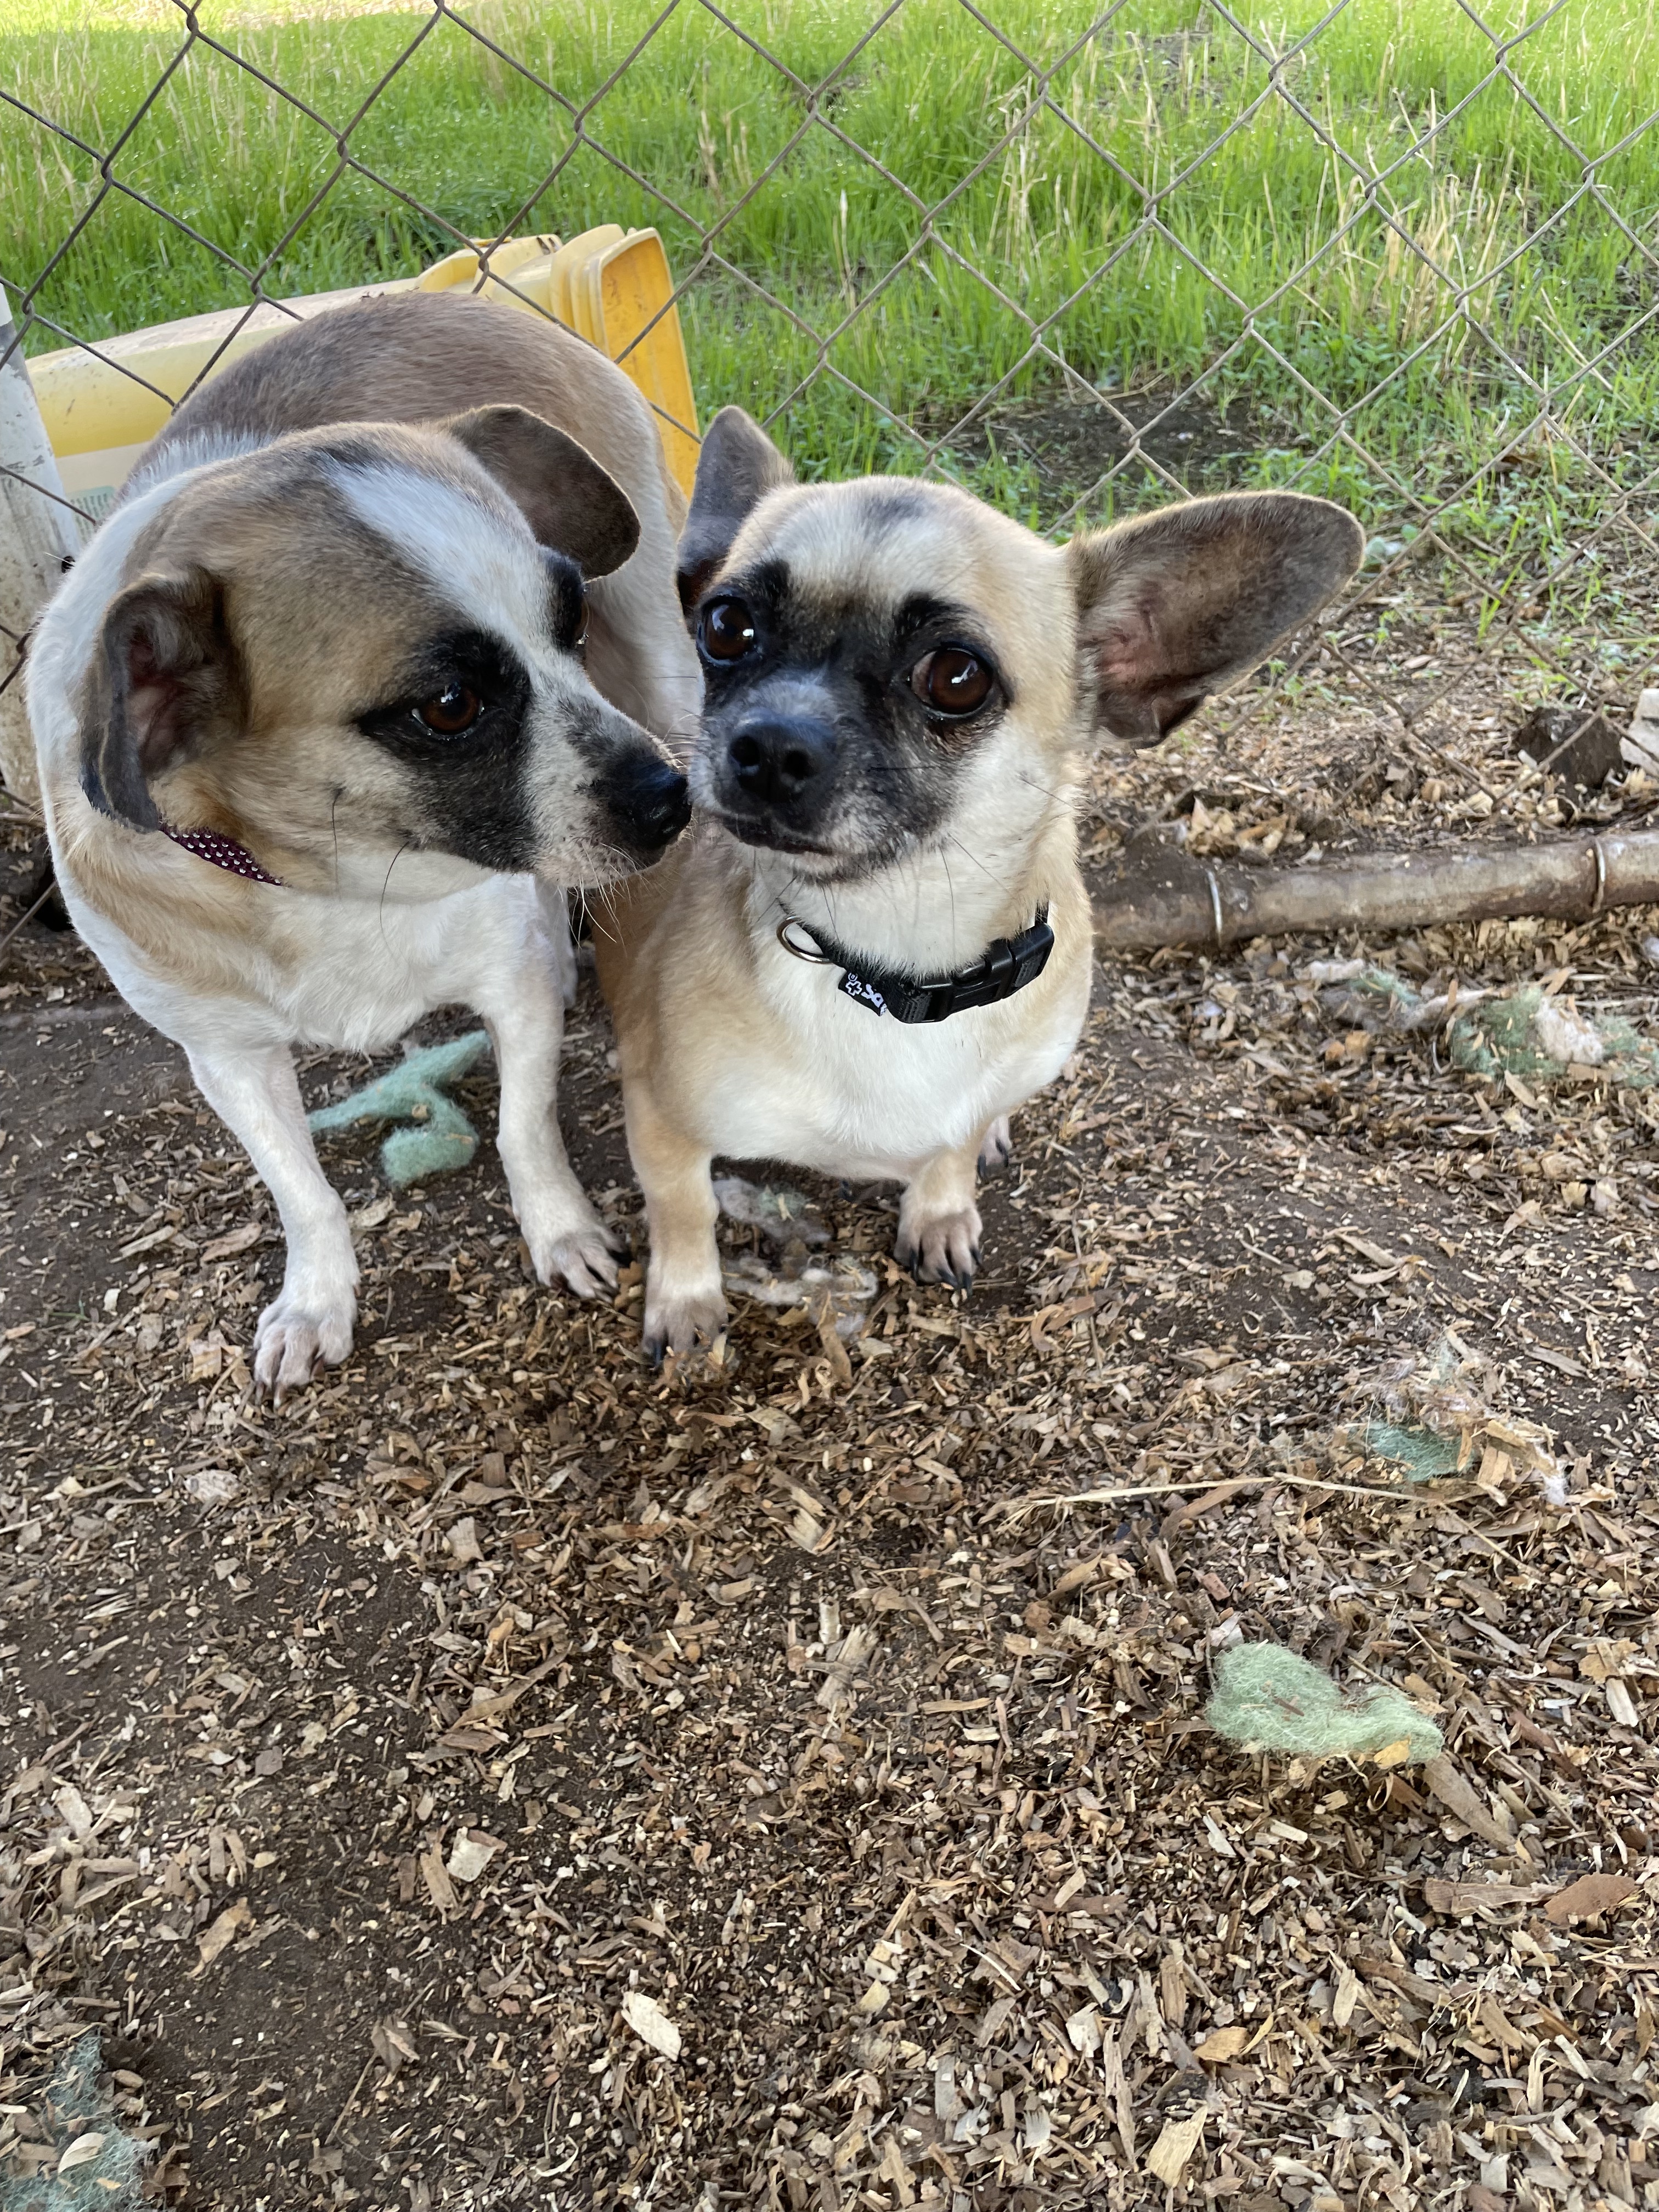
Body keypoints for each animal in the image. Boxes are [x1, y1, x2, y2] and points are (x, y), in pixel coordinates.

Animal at [27, 294, 703, 1398]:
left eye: (565, 622)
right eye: (449, 706)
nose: (670, 799)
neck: (334, 880)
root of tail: (449, 292)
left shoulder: (507, 982)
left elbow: (522, 1124)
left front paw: (560, 1232)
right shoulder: (226, 1057)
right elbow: (301, 1190)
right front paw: (315, 1300)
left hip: (658, 659)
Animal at [597, 407, 1362, 1353]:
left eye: (956, 678)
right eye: (726, 625)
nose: (770, 743)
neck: (891, 968)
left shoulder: (964, 1096)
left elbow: (951, 1146)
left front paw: (941, 1207)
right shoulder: (662, 1121)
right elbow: (684, 1208)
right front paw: (687, 1296)